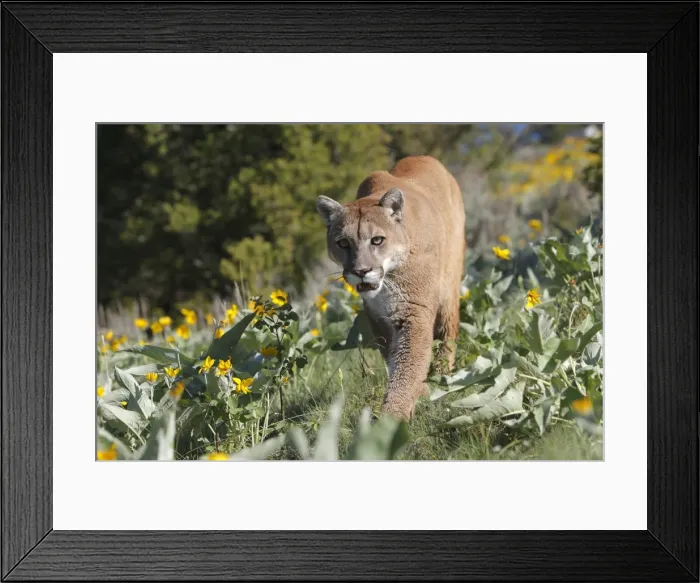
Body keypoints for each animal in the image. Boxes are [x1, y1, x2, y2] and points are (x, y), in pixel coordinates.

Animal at [316, 155, 466, 420]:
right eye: (343, 243)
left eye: (377, 240)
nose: (361, 271)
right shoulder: (377, 315)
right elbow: (393, 356)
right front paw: (417, 392)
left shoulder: (413, 311)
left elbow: (408, 362)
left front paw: (393, 415)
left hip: (449, 283)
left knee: (449, 330)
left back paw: (442, 373)